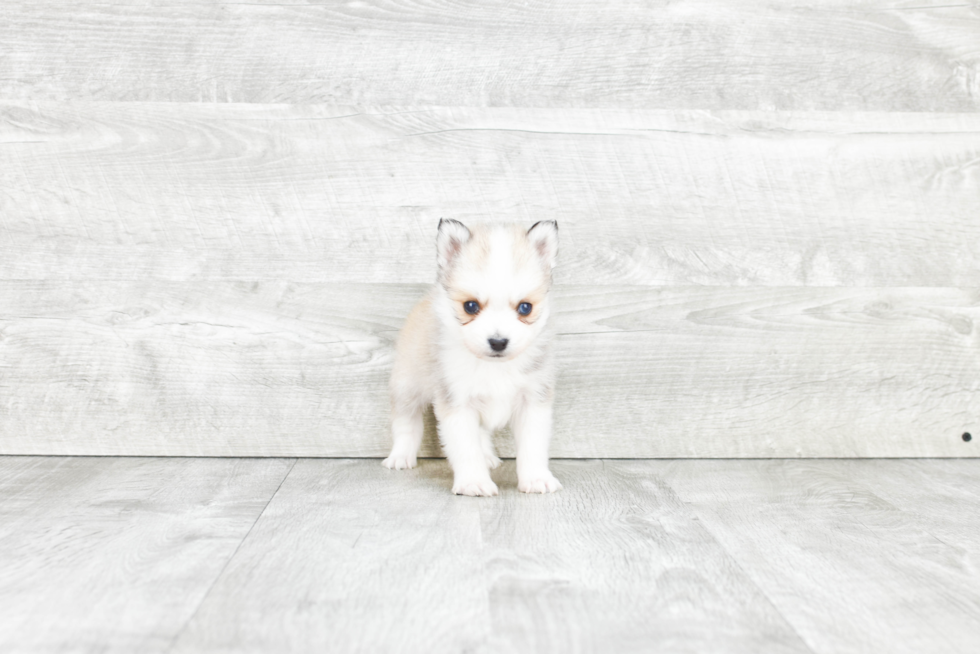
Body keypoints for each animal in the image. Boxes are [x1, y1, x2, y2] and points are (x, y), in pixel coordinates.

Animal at [384, 220, 568, 498]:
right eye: (470, 306)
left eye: (525, 308)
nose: (498, 342)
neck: (495, 367)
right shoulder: (457, 403)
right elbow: (465, 448)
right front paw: (474, 482)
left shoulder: (533, 401)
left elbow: (532, 446)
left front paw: (536, 478)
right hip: (407, 387)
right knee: (406, 423)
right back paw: (400, 456)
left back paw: (488, 457)